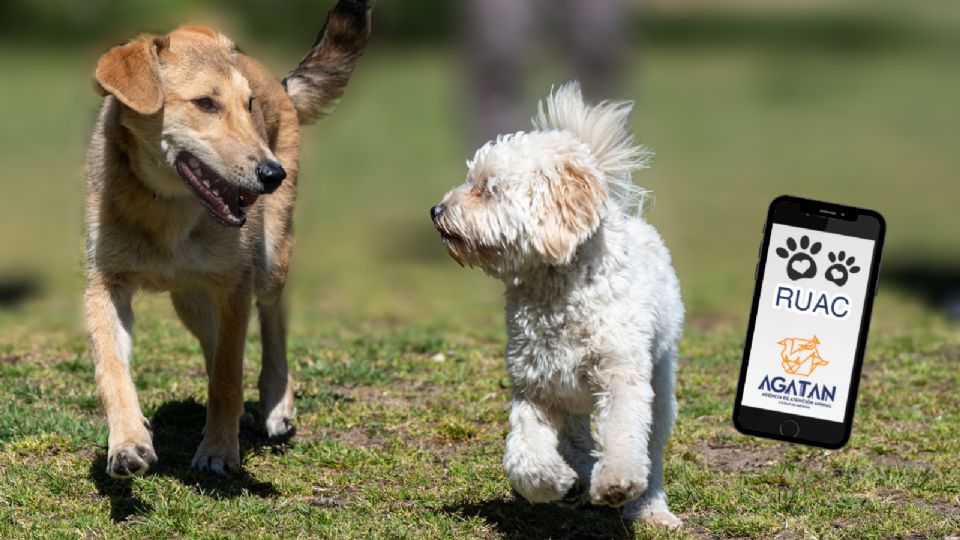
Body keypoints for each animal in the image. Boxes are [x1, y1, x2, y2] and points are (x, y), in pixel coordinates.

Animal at [86, 2, 374, 478]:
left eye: (248, 105)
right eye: (205, 103)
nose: (273, 174)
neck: (166, 208)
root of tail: (278, 81)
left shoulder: (234, 284)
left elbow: (227, 376)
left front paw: (219, 450)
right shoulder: (106, 284)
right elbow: (112, 370)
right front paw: (127, 442)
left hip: (271, 258)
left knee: (272, 320)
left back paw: (276, 403)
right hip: (190, 300)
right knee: (215, 343)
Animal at [432, 83, 688, 528]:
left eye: (487, 187)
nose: (436, 211)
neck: (556, 291)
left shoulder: (621, 376)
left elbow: (624, 435)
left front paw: (616, 482)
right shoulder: (536, 389)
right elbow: (522, 458)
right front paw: (560, 485)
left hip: (659, 381)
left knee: (650, 449)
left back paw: (650, 507)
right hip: (570, 401)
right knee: (577, 440)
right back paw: (580, 477)